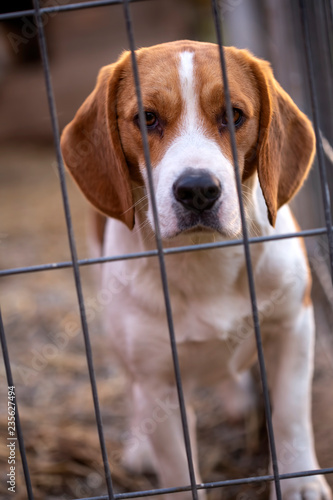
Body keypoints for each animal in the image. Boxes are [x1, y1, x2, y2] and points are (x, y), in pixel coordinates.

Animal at [61, 42, 330, 500]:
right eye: (146, 118)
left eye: (233, 115)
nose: (198, 189)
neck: (204, 257)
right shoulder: (158, 382)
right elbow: (178, 470)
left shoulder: (294, 325)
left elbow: (291, 416)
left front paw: (301, 483)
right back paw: (140, 446)